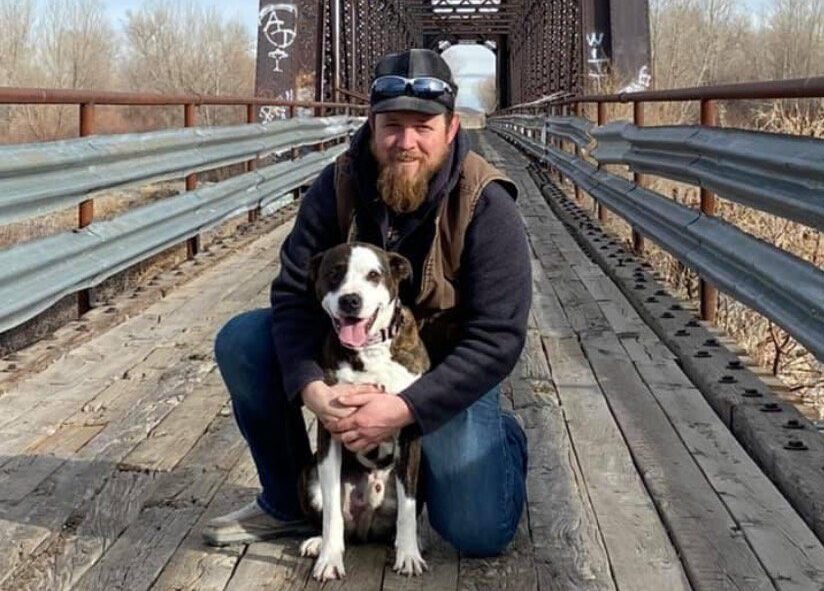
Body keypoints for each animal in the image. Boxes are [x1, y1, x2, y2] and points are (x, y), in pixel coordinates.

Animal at [300, 243, 432, 580]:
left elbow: (408, 507)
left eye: (374, 275)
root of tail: (365, 524)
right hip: (308, 475)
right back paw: (317, 542)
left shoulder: (410, 431)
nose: (351, 300)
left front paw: (408, 554)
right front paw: (330, 558)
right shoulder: (330, 429)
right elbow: (331, 510)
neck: (369, 349)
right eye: (334, 273)